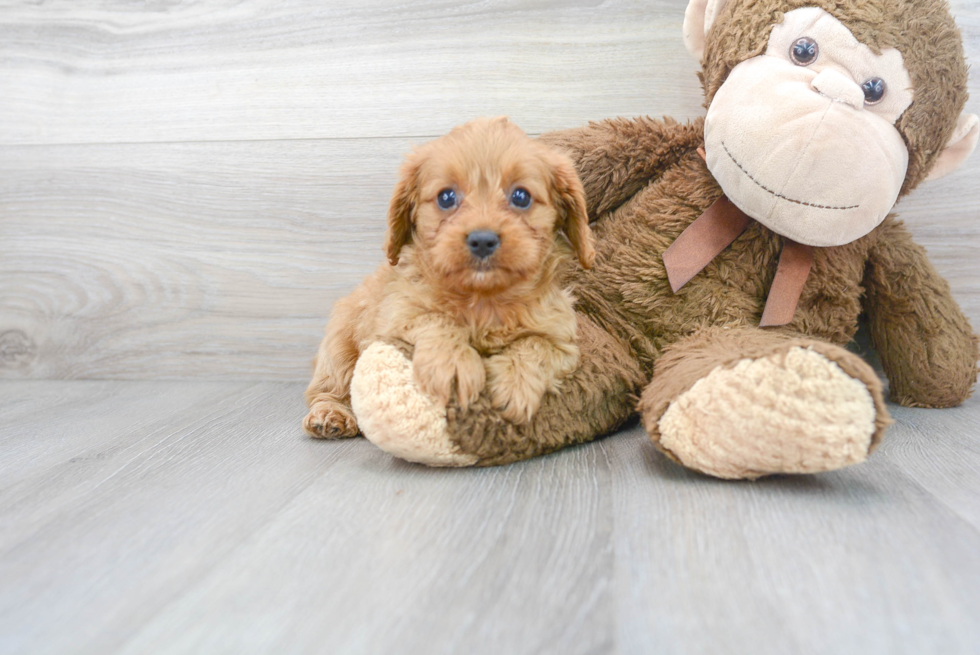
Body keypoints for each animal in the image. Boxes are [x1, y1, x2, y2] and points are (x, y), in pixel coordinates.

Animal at [306, 117, 592, 436]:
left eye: (521, 197)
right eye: (446, 197)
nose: (482, 240)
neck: (483, 300)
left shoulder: (562, 339)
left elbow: (535, 345)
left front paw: (515, 383)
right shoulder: (394, 318)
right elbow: (435, 318)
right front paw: (453, 363)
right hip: (338, 348)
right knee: (326, 388)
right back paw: (329, 414)